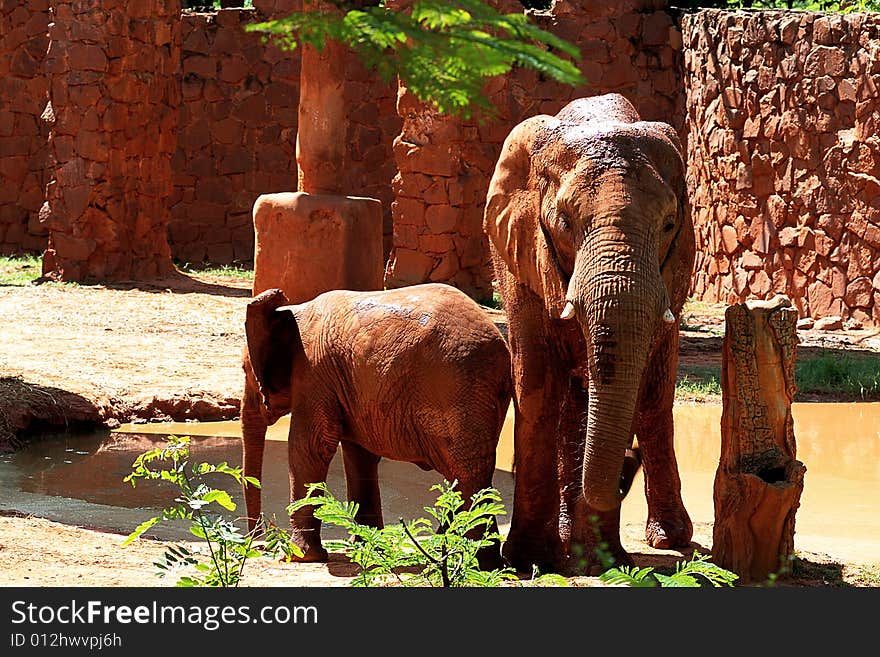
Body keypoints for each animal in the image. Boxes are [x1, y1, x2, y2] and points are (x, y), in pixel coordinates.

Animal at [242, 282, 516, 564]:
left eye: (244, 370)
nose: (258, 543)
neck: (291, 312)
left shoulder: (314, 373)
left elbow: (310, 448)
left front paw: (299, 557)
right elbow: (358, 454)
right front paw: (368, 548)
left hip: (457, 390)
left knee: (465, 473)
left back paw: (469, 558)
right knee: (469, 475)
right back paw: (466, 555)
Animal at [482, 93, 696, 576]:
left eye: (669, 224)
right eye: (563, 222)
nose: (627, 467)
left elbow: (633, 389)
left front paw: (602, 562)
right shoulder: (523, 253)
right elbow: (537, 384)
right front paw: (529, 560)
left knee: (651, 402)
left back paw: (668, 538)